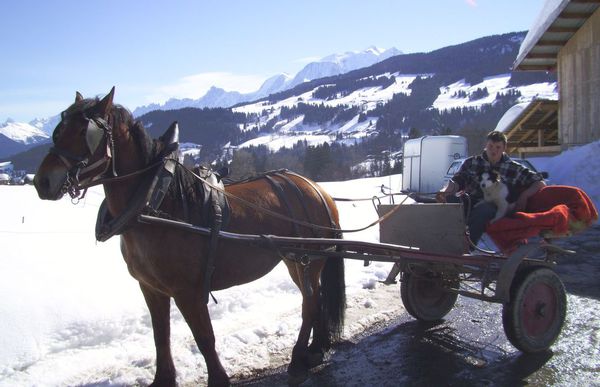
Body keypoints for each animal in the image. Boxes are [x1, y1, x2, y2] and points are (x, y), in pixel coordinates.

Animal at [34, 88, 346, 387]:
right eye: (59, 130)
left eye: (83, 133)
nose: (42, 182)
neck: (155, 202)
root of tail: (318, 189)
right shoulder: (151, 288)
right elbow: (161, 335)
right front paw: (163, 379)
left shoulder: (188, 292)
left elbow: (204, 338)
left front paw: (218, 379)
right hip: (298, 260)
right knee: (316, 299)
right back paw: (316, 349)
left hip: (307, 260)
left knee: (309, 304)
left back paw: (298, 360)